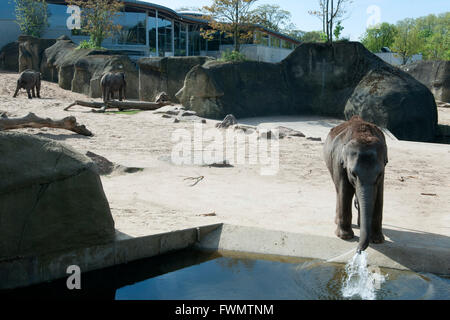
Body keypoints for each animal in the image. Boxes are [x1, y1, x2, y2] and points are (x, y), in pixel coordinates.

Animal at [322, 115, 388, 252]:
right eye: (353, 173)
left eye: (379, 174)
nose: (359, 249)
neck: (362, 134)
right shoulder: (339, 162)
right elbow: (345, 191)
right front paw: (345, 237)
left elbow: (379, 195)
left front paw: (377, 240)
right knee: (338, 190)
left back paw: (360, 224)